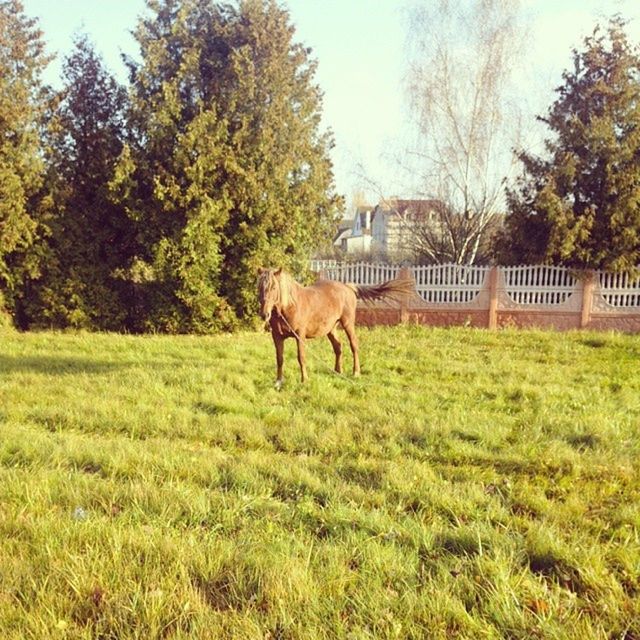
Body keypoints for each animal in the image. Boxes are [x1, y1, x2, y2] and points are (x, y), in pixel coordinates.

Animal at [256, 266, 412, 384]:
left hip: (348, 324)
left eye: (274, 287)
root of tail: (348, 287)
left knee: (354, 345)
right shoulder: (277, 336)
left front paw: (304, 380)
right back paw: (338, 371)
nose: (264, 314)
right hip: (331, 329)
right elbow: (279, 358)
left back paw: (356, 372)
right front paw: (278, 382)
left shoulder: (300, 335)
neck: (289, 306)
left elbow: (301, 357)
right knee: (338, 346)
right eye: (259, 287)